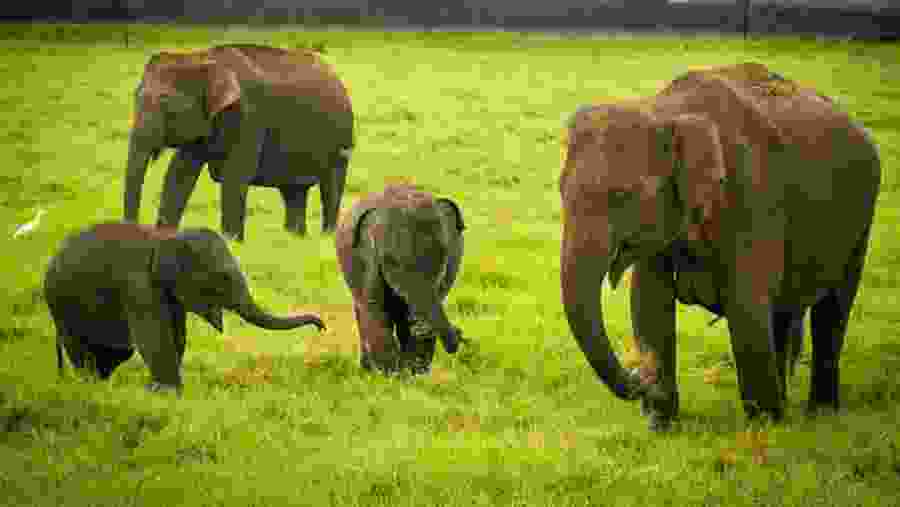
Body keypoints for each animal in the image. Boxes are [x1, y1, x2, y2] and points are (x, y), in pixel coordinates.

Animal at [44, 222, 325, 395]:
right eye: (223, 278)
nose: (321, 326)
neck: (165, 238)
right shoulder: (138, 286)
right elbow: (155, 337)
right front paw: (168, 393)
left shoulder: (172, 295)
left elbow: (177, 335)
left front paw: (161, 391)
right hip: (61, 304)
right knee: (81, 346)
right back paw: (90, 383)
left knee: (114, 351)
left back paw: (101, 383)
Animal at [123, 43, 354, 242]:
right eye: (135, 98)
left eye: (167, 106)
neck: (202, 57)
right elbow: (179, 175)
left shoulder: (249, 116)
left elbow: (236, 174)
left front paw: (231, 242)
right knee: (293, 192)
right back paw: (295, 238)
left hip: (341, 137)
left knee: (330, 187)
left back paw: (327, 237)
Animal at [335, 185, 466, 374]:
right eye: (390, 261)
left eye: (443, 256)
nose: (459, 332)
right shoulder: (367, 261)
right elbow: (376, 310)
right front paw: (392, 376)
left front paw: (414, 374)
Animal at [558, 62, 880, 431]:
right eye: (561, 190)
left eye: (624, 196)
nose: (641, 375)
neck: (665, 112)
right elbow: (648, 304)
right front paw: (661, 425)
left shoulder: (754, 200)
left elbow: (746, 309)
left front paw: (764, 429)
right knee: (783, 311)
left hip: (862, 216)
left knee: (833, 307)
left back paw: (818, 415)